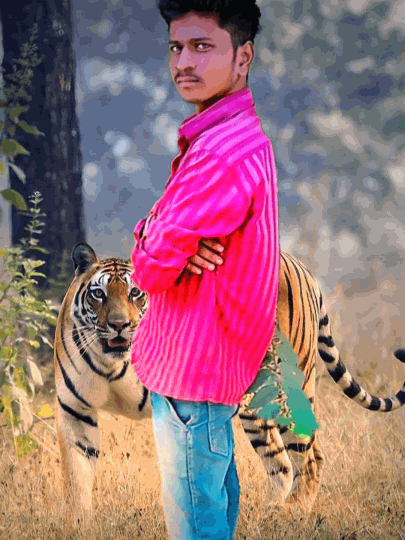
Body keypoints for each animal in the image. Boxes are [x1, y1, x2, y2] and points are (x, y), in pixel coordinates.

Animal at [54, 243, 405, 526]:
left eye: (135, 293)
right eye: (98, 294)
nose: (119, 325)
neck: (114, 362)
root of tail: (299, 264)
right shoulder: (76, 413)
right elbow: (76, 478)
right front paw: (81, 526)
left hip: (279, 393)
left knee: (304, 458)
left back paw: (291, 513)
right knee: (287, 461)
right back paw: (273, 512)